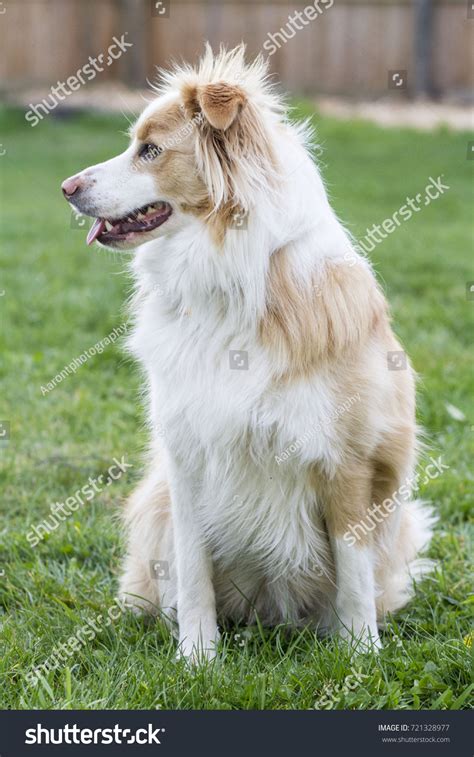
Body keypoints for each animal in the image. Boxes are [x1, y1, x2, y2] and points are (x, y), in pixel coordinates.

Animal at [62, 44, 434, 660]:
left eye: (150, 150)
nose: (66, 188)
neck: (228, 281)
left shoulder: (348, 458)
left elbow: (355, 575)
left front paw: (361, 655)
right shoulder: (188, 454)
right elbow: (192, 567)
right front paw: (198, 657)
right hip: (154, 502)